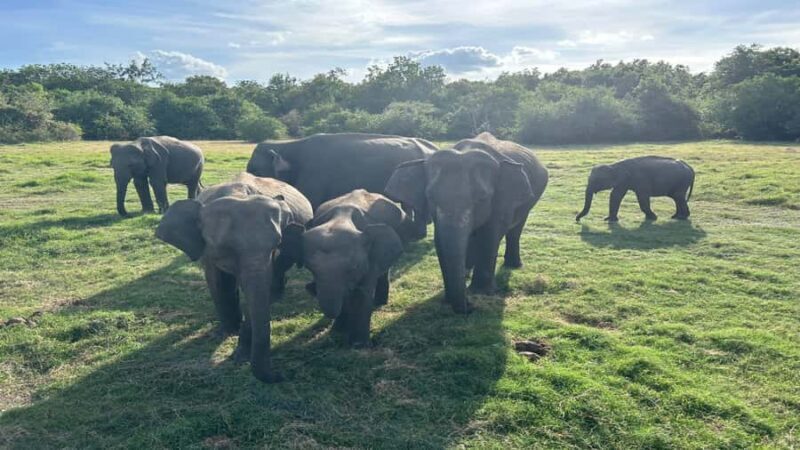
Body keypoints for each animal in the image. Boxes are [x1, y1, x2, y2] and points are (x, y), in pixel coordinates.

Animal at [155, 172, 312, 383]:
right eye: (225, 248)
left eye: (277, 243)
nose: (282, 374)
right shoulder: (207, 252)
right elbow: (217, 282)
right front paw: (228, 332)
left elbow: (259, 290)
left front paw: (240, 354)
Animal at [302, 190, 406, 346]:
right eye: (311, 269)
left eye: (354, 267)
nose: (311, 288)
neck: (341, 218)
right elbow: (345, 295)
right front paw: (338, 331)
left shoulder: (371, 259)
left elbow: (362, 294)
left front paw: (359, 345)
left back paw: (380, 303)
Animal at [385, 132, 548, 313]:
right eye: (430, 197)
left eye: (482, 198)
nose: (468, 306)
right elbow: (440, 241)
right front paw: (453, 296)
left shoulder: (502, 200)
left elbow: (489, 235)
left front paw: (481, 292)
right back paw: (468, 269)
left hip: (529, 199)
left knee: (516, 229)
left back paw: (513, 266)